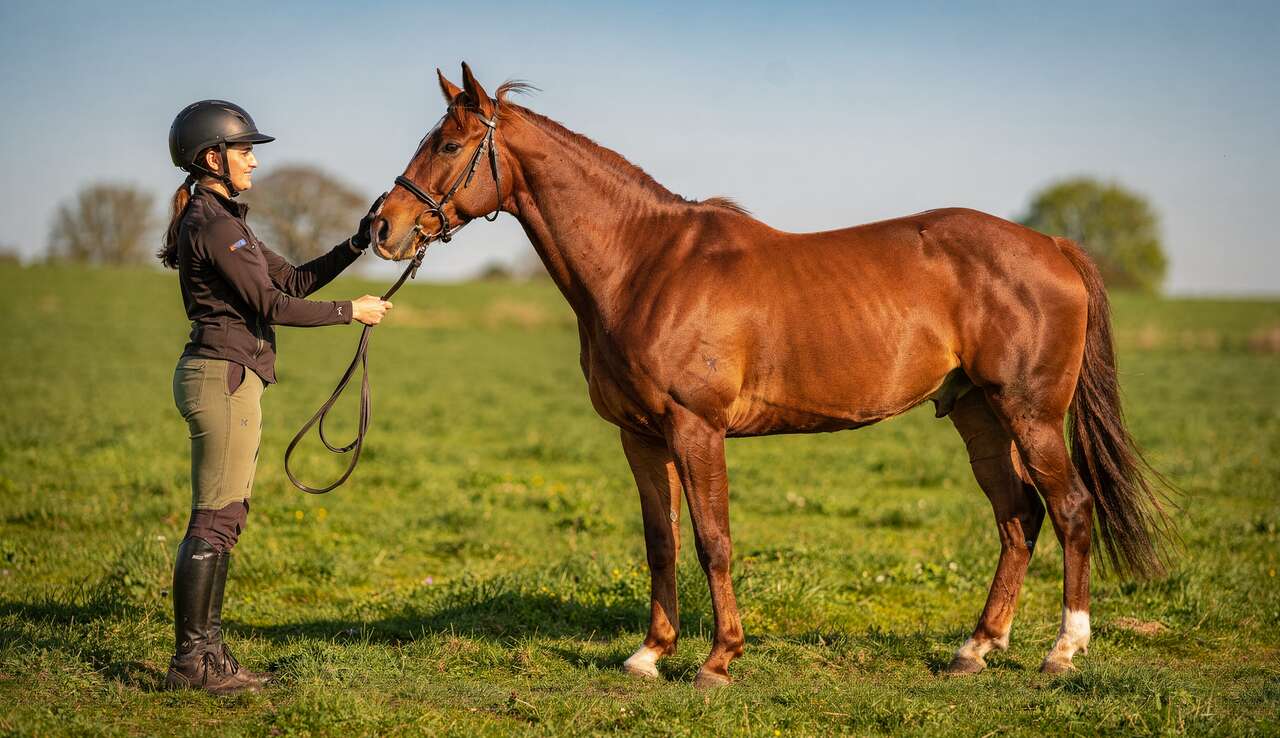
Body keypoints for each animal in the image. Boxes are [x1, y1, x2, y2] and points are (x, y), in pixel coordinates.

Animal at [371, 63, 1173, 688]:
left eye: (450, 144)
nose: (383, 227)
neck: (644, 263)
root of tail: (1053, 245)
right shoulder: (640, 436)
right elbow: (660, 542)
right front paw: (649, 654)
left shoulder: (696, 428)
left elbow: (712, 539)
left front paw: (717, 661)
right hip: (978, 413)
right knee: (1018, 517)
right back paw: (976, 647)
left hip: (1031, 414)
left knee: (1069, 509)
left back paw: (1063, 650)